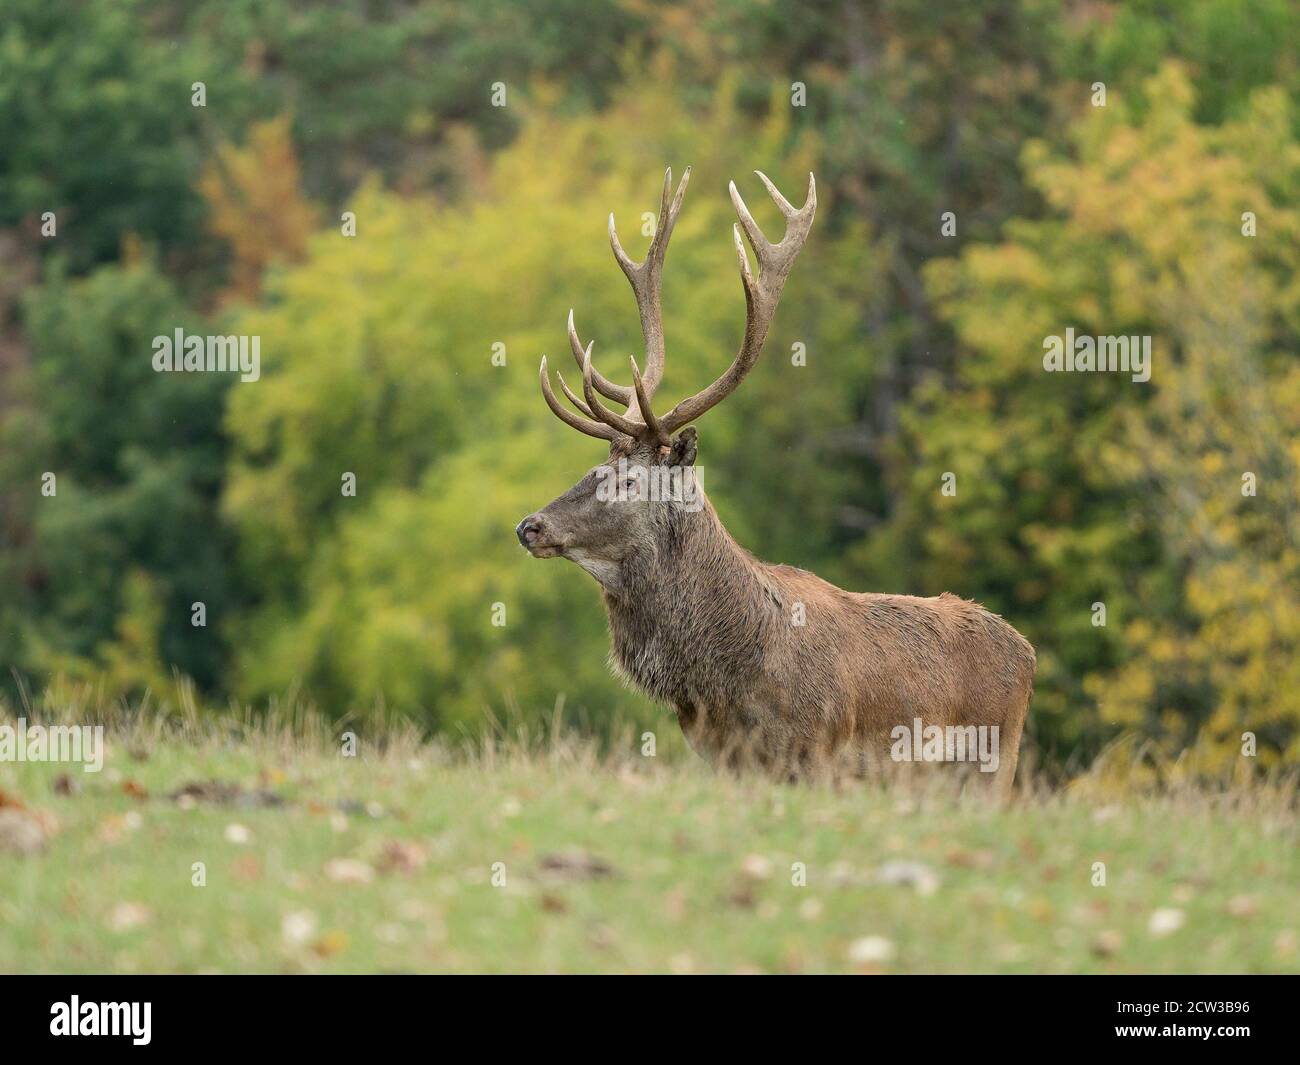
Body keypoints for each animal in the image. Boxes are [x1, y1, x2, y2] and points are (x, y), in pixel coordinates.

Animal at [512, 166, 1029, 795]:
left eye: (631, 482)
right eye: (592, 469)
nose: (531, 526)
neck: (725, 679)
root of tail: (1028, 654)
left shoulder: (814, 753)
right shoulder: (721, 759)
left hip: (991, 768)